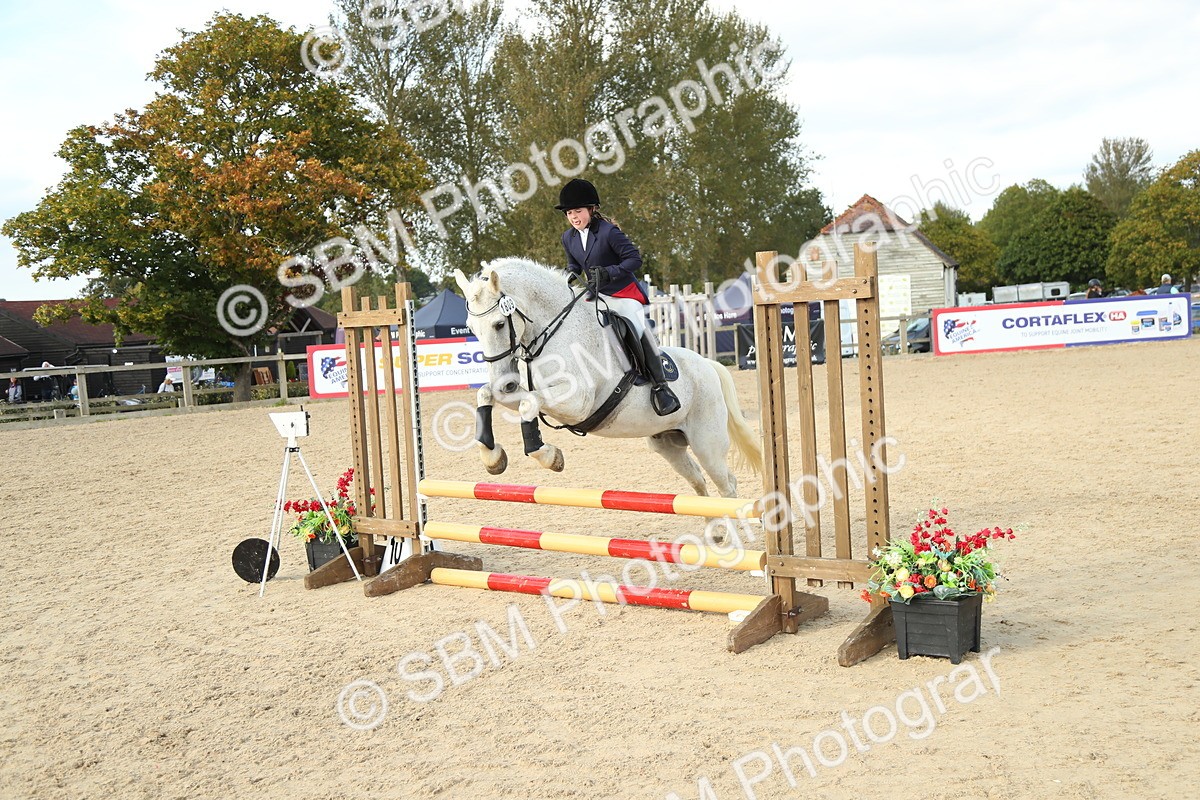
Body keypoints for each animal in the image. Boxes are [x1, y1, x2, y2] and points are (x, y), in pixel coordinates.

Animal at [453, 258, 762, 499]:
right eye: (470, 328)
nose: (505, 381)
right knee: (698, 482)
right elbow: (489, 395)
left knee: (727, 485)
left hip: (707, 443)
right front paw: (493, 457)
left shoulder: (577, 402)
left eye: (499, 324)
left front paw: (550, 457)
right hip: (668, 443)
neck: (555, 331)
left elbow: (528, 403)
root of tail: (709, 365)